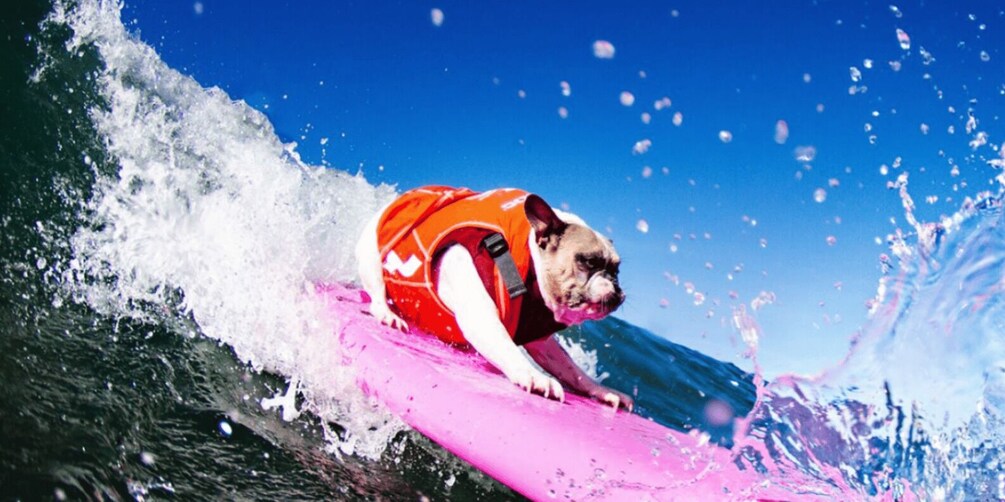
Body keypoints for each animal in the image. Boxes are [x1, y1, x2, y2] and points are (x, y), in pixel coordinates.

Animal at [357, 186, 631, 409]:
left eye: (617, 269)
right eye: (589, 261)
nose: (616, 286)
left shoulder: (543, 343)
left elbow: (571, 369)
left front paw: (602, 391)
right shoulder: (481, 317)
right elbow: (504, 344)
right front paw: (534, 375)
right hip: (371, 251)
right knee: (377, 286)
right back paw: (387, 313)